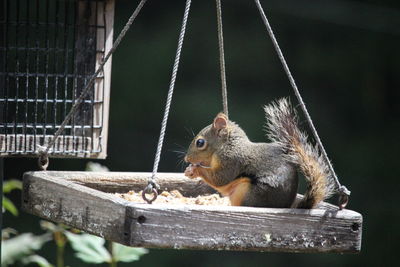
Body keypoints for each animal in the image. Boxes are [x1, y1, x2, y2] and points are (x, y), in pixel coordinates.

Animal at [184, 98, 334, 209]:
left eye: (200, 143)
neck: (226, 146)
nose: (186, 159)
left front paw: (195, 170)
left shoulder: (231, 160)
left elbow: (220, 178)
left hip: (249, 193)